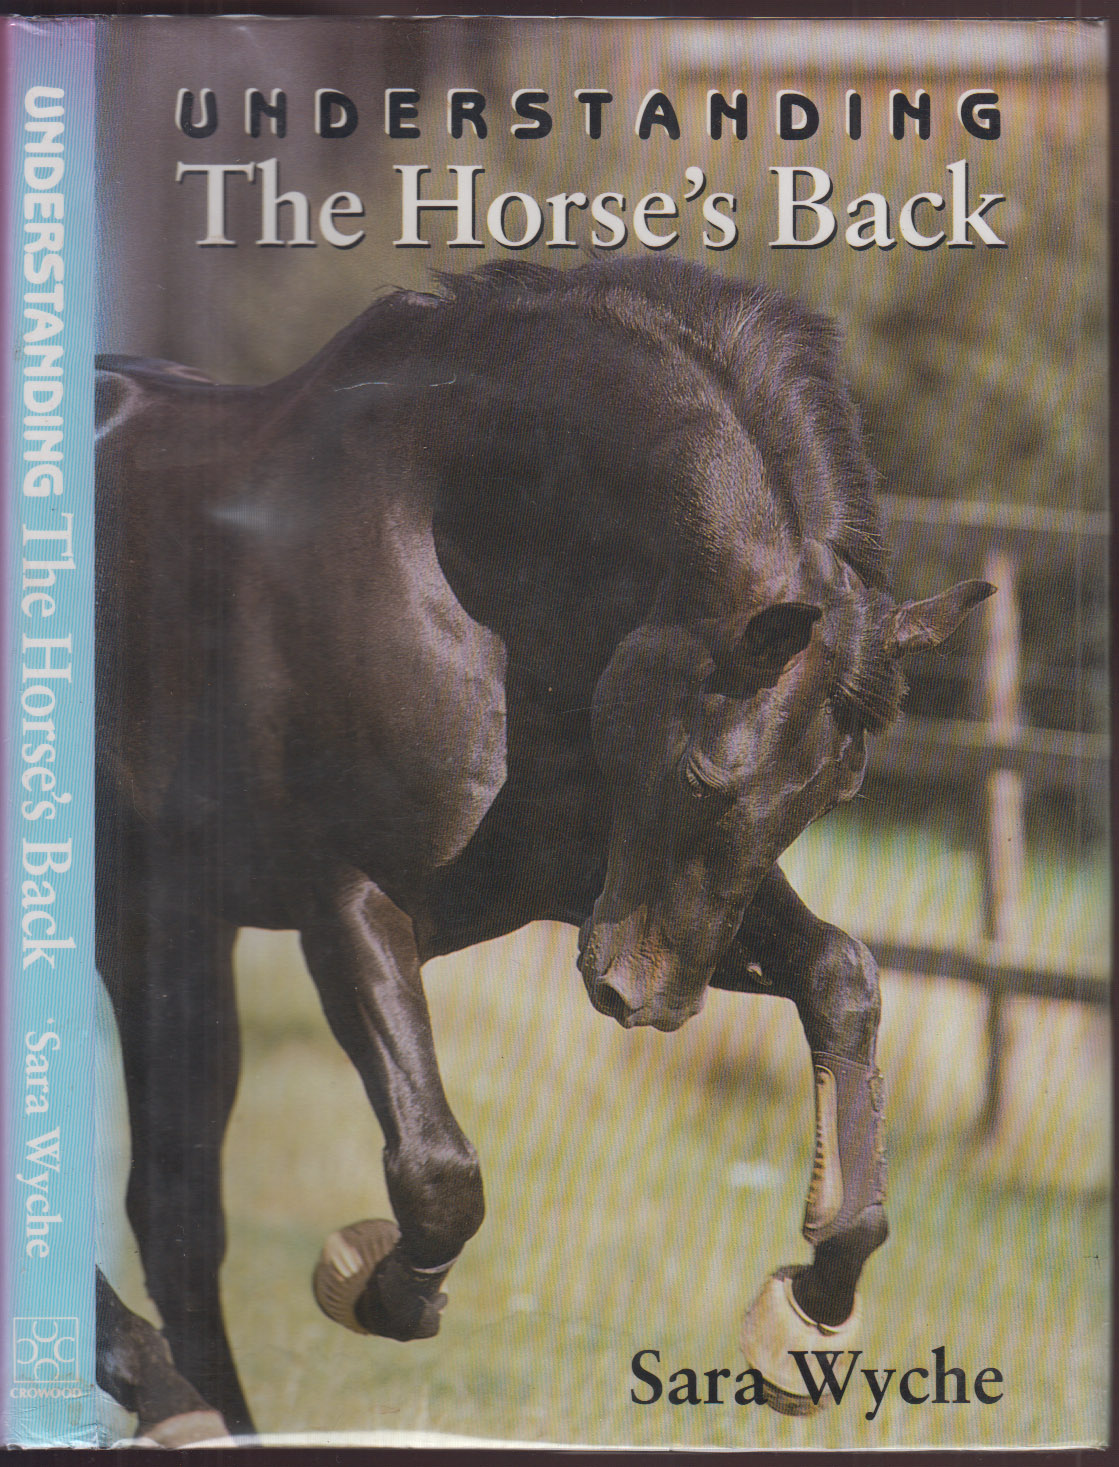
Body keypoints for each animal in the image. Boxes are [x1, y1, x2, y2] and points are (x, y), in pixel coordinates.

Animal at [93, 258, 992, 1437]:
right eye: (707, 775)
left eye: (836, 792)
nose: (644, 1002)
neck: (451, 549)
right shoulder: (351, 900)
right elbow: (438, 1173)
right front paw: (380, 1285)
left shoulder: (583, 892)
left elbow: (842, 971)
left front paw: (810, 1307)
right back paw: (152, 1376)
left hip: (169, 932)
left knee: (177, 1210)